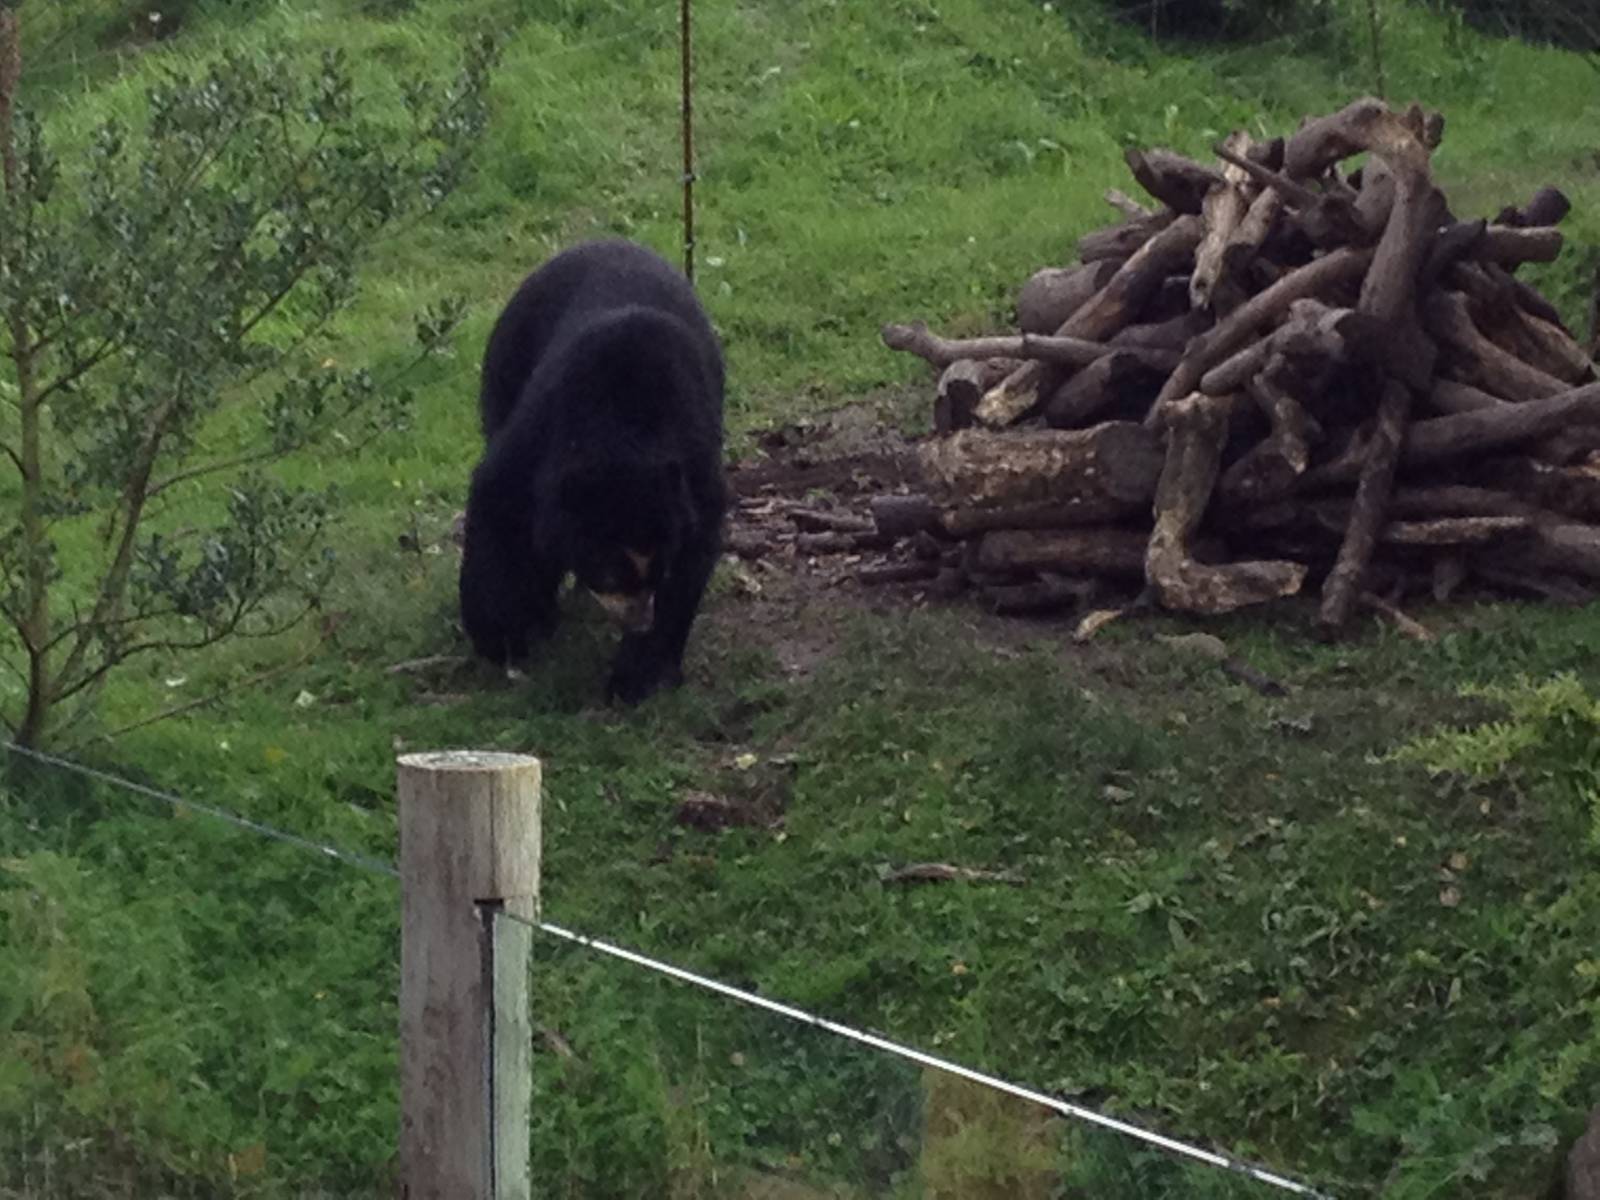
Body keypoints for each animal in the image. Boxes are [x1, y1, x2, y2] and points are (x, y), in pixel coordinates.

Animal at [458, 238, 728, 704]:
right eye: (609, 570)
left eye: (658, 569)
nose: (638, 619)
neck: (619, 435)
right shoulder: (541, 424)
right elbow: (499, 503)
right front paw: (504, 636)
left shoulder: (694, 464)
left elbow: (693, 557)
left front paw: (638, 676)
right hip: (506, 364)